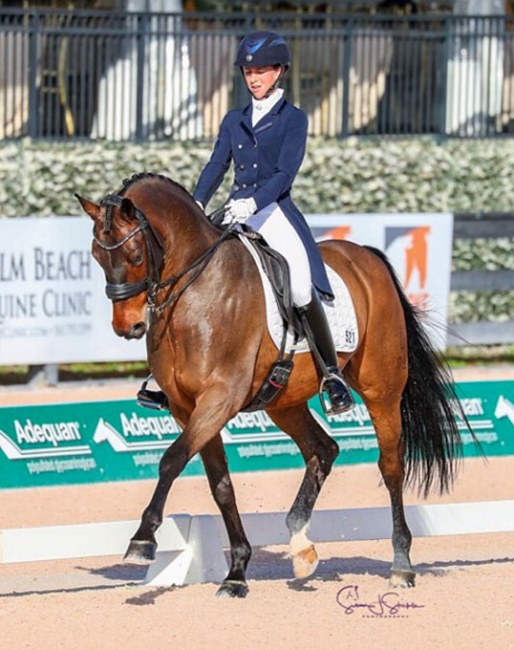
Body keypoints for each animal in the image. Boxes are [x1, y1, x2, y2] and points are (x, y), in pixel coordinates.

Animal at [75, 172, 472, 596]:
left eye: (135, 256)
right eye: (97, 256)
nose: (128, 327)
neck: (196, 292)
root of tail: (365, 256)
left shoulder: (220, 398)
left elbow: (171, 459)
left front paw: (143, 540)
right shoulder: (188, 408)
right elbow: (220, 484)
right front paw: (236, 572)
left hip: (381, 389)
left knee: (391, 465)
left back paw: (401, 565)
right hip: (284, 402)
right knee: (323, 450)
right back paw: (301, 546)